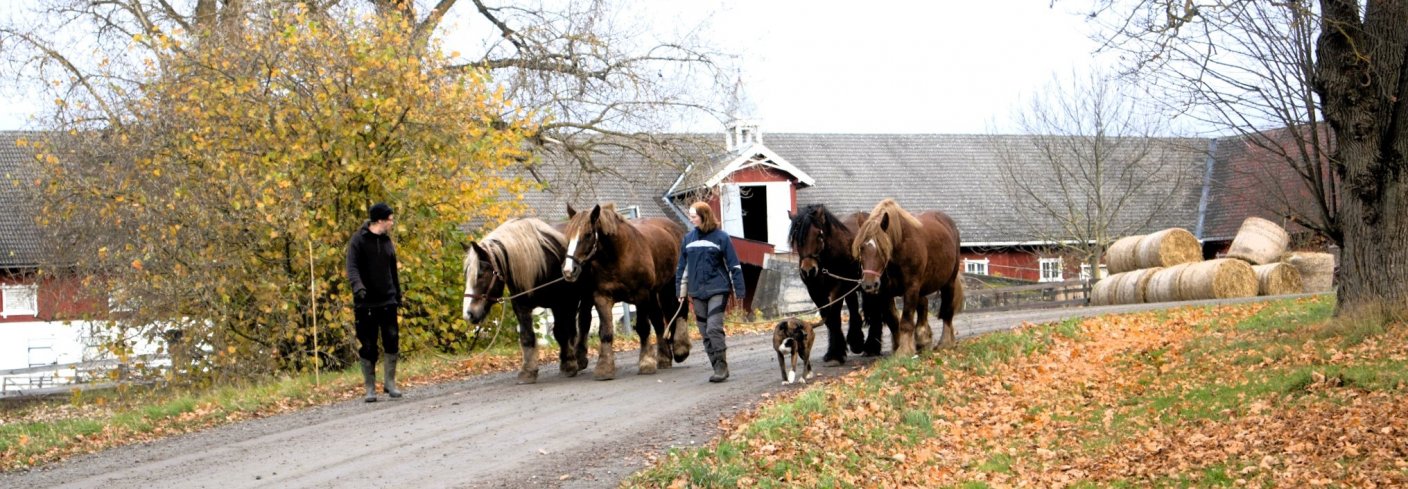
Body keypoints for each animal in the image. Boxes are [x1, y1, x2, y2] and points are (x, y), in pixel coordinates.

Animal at [464, 219, 591, 386]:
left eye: (480, 274)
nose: (469, 314)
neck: (541, 265)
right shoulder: (521, 307)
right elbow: (527, 336)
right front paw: (528, 371)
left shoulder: (563, 303)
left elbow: (561, 332)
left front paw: (568, 364)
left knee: (583, 323)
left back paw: (579, 358)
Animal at [560, 202, 692, 380]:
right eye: (568, 236)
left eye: (588, 234)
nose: (569, 270)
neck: (618, 256)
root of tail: (674, 228)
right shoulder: (602, 297)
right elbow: (606, 332)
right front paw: (604, 368)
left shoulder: (641, 295)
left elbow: (643, 328)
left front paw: (646, 362)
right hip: (654, 293)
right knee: (658, 320)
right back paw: (664, 357)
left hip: (671, 285)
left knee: (680, 310)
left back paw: (680, 349)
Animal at [788, 204, 872, 363]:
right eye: (796, 237)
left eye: (819, 235)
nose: (808, 271)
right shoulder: (814, 291)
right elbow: (827, 317)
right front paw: (834, 351)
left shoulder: (837, 288)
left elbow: (834, 316)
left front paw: (836, 353)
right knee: (853, 307)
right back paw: (856, 340)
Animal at [850, 198, 963, 356]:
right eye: (861, 248)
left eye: (883, 249)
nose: (869, 285)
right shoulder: (885, 293)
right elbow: (893, 321)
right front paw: (898, 346)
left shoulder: (911, 287)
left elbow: (906, 320)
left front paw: (904, 351)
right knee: (924, 304)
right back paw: (923, 339)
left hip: (949, 282)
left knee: (947, 311)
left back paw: (945, 342)